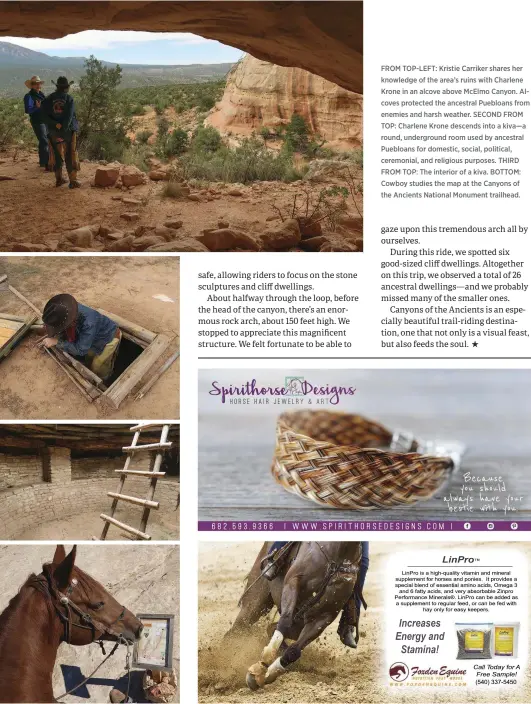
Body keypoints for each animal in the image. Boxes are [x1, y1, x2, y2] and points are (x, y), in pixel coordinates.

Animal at [224, 540, 366, 692]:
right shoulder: (293, 581)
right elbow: (284, 622)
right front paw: (262, 665)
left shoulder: (324, 616)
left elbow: (294, 651)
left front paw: (266, 674)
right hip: (255, 602)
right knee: (237, 629)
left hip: (298, 622)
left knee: (271, 628)